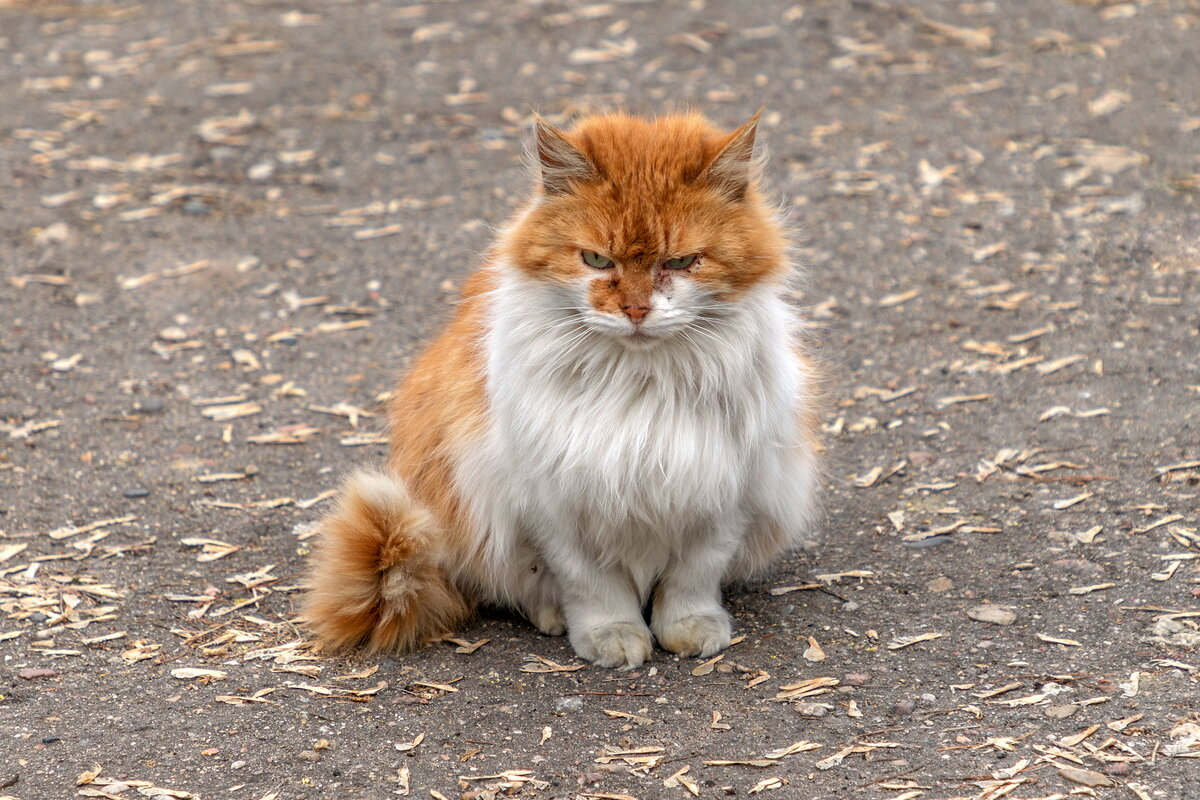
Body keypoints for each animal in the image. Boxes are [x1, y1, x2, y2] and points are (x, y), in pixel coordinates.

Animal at [304, 109, 820, 666]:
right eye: (596, 260)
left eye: (680, 263)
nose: (635, 310)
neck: (639, 384)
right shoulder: (555, 503)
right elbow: (592, 586)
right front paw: (611, 637)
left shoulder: (725, 490)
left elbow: (692, 579)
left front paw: (690, 630)